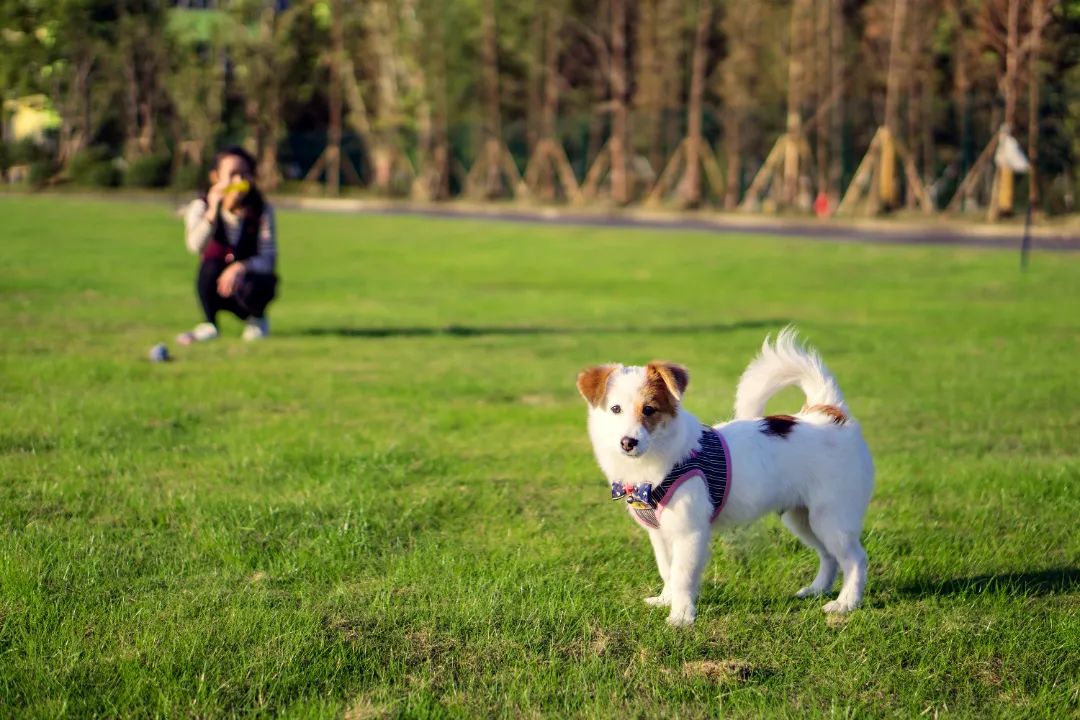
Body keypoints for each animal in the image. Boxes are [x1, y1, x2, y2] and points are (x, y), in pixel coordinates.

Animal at [578, 330, 872, 626]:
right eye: (615, 409)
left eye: (649, 410)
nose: (628, 442)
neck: (655, 463)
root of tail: (828, 412)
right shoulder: (659, 534)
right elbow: (667, 571)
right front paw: (665, 601)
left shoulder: (690, 532)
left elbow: (682, 576)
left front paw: (681, 616)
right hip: (803, 517)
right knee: (829, 555)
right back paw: (817, 590)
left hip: (831, 517)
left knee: (855, 559)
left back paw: (846, 603)